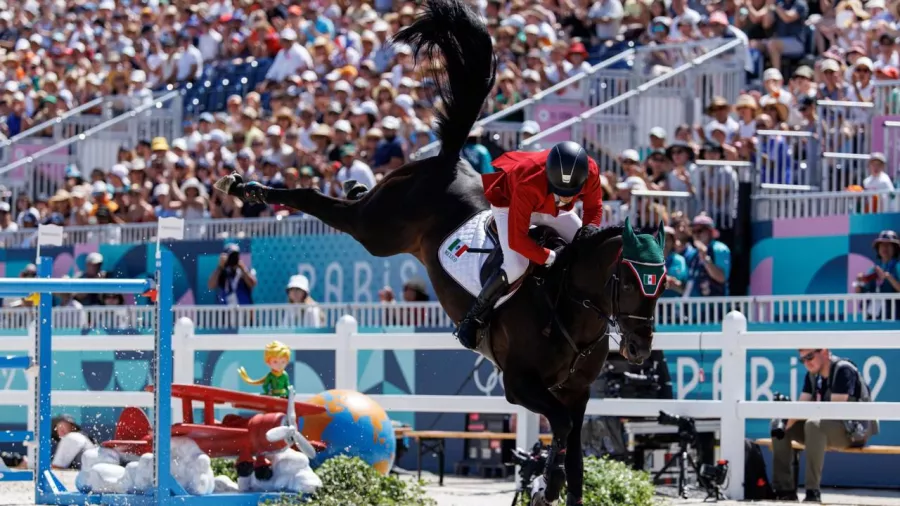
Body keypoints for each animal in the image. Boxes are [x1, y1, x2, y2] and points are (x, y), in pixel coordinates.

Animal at [216, 1, 668, 504]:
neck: (570, 310)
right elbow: (563, 428)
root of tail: (450, 160)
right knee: (323, 202)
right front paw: (545, 483)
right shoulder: (520, 386)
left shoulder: (578, 393)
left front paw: (551, 482)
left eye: (662, 281)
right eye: (627, 279)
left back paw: (340, 182)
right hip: (376, 231)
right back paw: (249, 188)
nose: (639, 348)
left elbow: (574, 451)